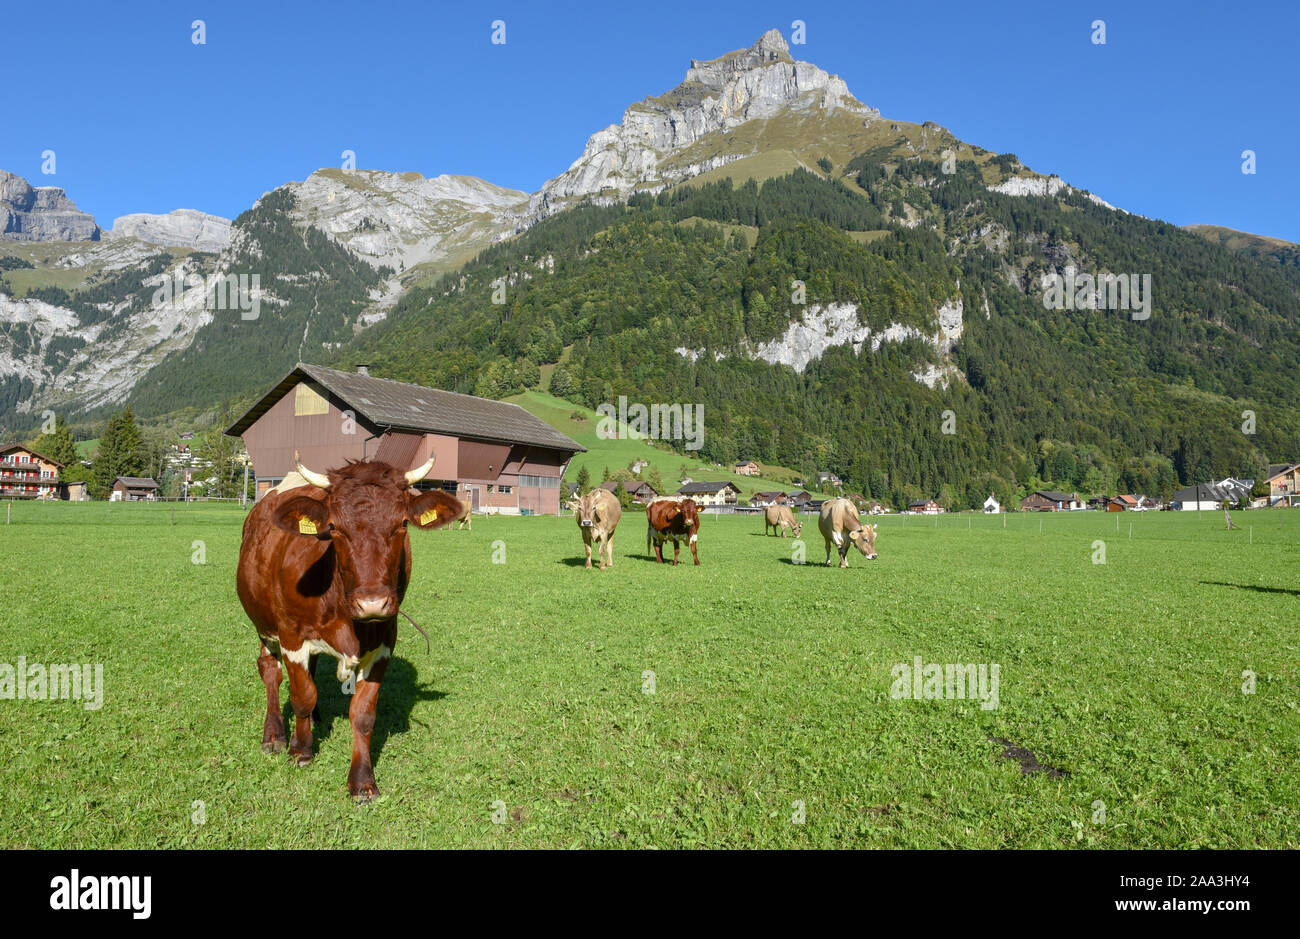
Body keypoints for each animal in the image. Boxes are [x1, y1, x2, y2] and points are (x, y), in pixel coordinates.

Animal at [236, 453, 461, 801]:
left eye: (402, 524)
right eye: (333, 527)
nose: (373, 603)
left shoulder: (384, 643)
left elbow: (363, 714)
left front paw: (362, 781)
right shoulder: (291, 635)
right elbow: (301, 696)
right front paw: (301, 749)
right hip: (264, 626)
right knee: (270, 672)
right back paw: (274, 735)